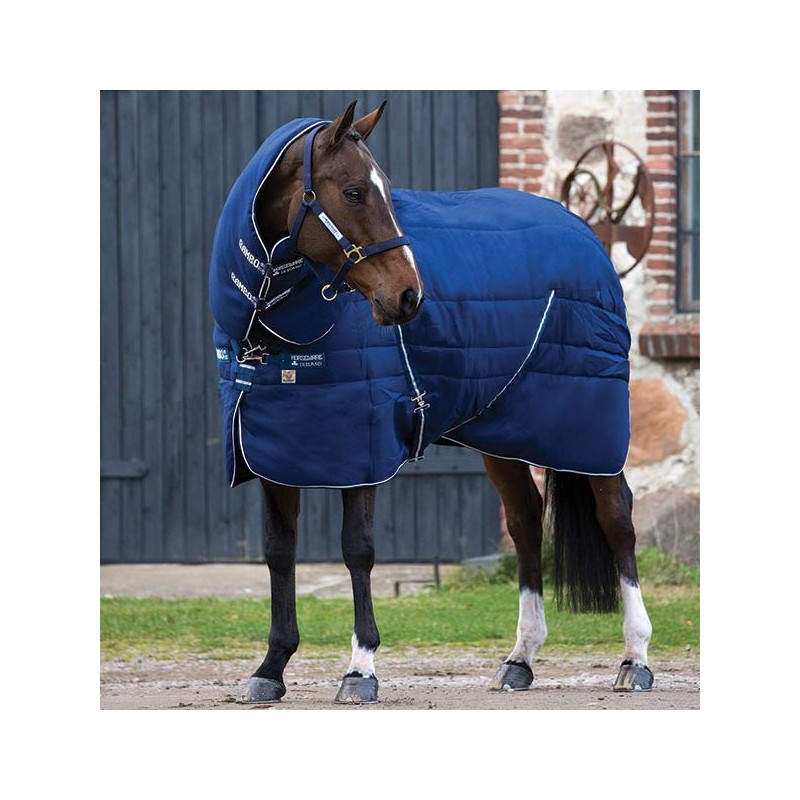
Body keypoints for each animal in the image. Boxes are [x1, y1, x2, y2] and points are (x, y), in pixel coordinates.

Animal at [208, 100, 654, 704]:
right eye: (354, 192)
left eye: (385, 191)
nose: (409, 295)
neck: (273, 334)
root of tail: (585, 234)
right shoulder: (272, 450)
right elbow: (279, 552)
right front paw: (271, 667)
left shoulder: (363, 451)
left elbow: (358, 549)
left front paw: (360, 669)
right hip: (502, 435)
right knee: (525, 522)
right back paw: (520, 659)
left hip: (589, 428)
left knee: (617, 519)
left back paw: (635, 658)